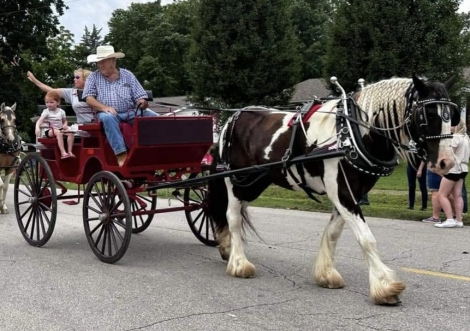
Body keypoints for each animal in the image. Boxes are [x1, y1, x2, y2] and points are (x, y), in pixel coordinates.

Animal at [209, 75, 458, 306]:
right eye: (428, 115)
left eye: (452, 116)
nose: (446, 162)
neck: (351, 133)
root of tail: (231, 120)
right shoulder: (342, 191)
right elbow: (366, 238)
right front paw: (385, 286)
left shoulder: (350, 193)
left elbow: (333, 232)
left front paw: (326, 274)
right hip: (234, 180)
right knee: (232, 216)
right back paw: (239, 264)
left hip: (255, 183)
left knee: (233, 214)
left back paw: (227, 248)